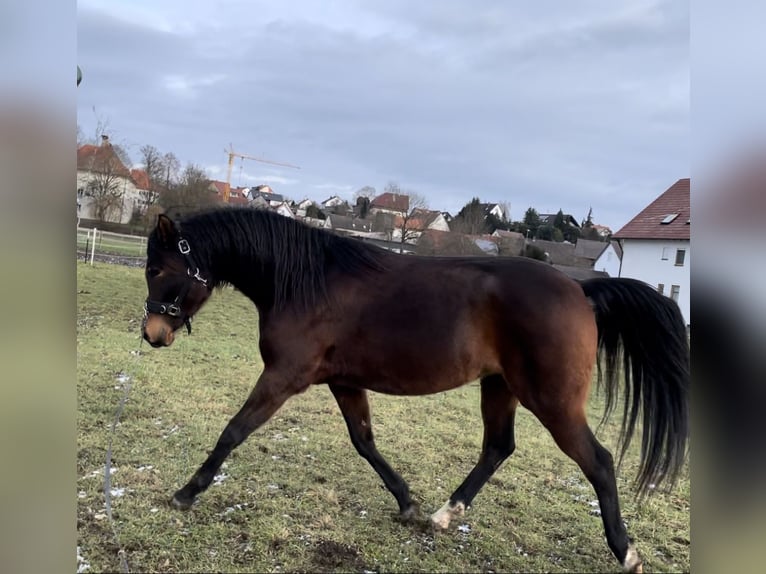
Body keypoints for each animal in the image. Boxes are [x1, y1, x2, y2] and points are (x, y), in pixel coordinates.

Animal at [142, 206, 688, 572]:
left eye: (158, 269)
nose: (152, 334)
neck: (305, 282)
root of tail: (580, 289)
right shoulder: (343, 382)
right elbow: (365, 442)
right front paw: (406, 503)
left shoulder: (283, 378)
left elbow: (233, 432)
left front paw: (187, 492)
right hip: (500, 387)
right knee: (498, 447)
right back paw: (445, 515)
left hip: (552, 401)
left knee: (598, 461)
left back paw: (626, 551)